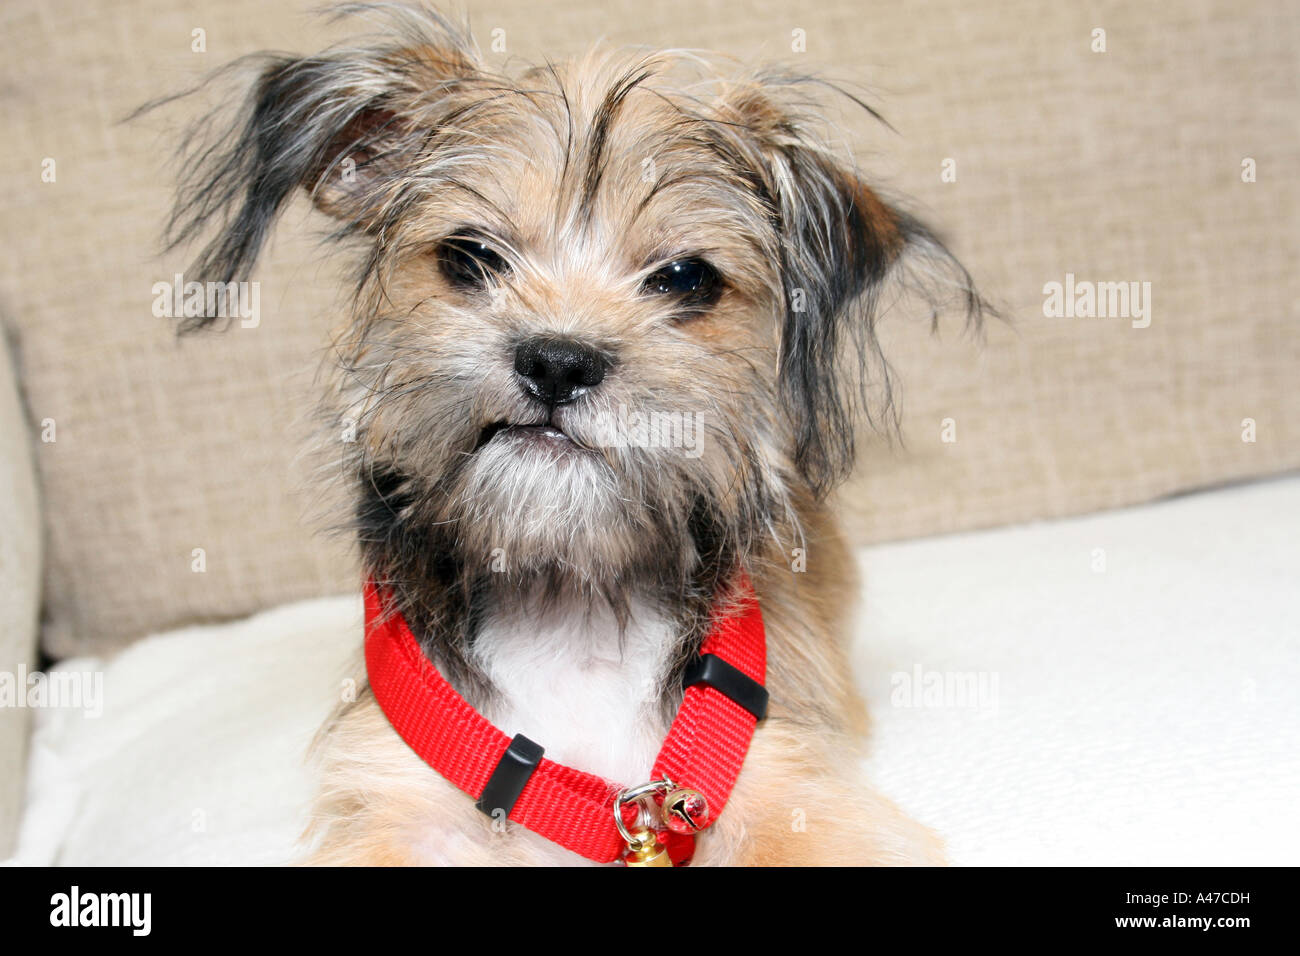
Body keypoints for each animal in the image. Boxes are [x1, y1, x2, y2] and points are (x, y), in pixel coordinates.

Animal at [154, 1, 982, 868]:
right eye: (470, 256)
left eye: (686, 279)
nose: (557, 360)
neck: (569, 600)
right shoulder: (397, 798)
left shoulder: (785, 785)